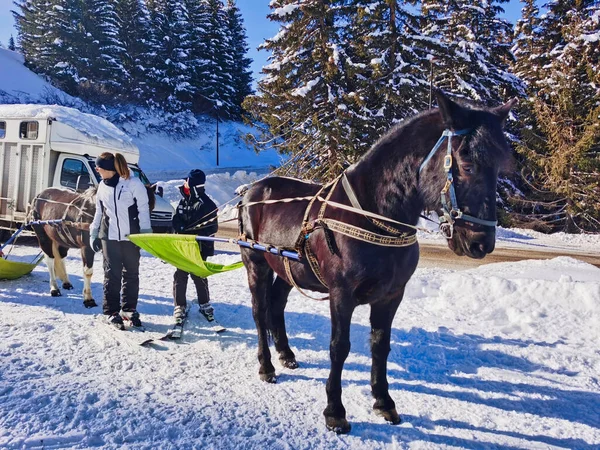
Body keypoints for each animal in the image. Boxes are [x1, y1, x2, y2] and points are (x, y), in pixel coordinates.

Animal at [238, 91, 516, 432]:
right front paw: (335, 411)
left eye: (499, 168)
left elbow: (381, 345)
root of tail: (252, 190)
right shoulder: (341, 294)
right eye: (466, 163)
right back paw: (266, 365)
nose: (481, 242)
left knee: (277, 305)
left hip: (288, 269)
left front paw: (383, 401)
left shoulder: (391, 295)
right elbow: (339, 348)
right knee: (259, 312)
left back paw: (286, 354)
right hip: (255, 262)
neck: (374, 215)